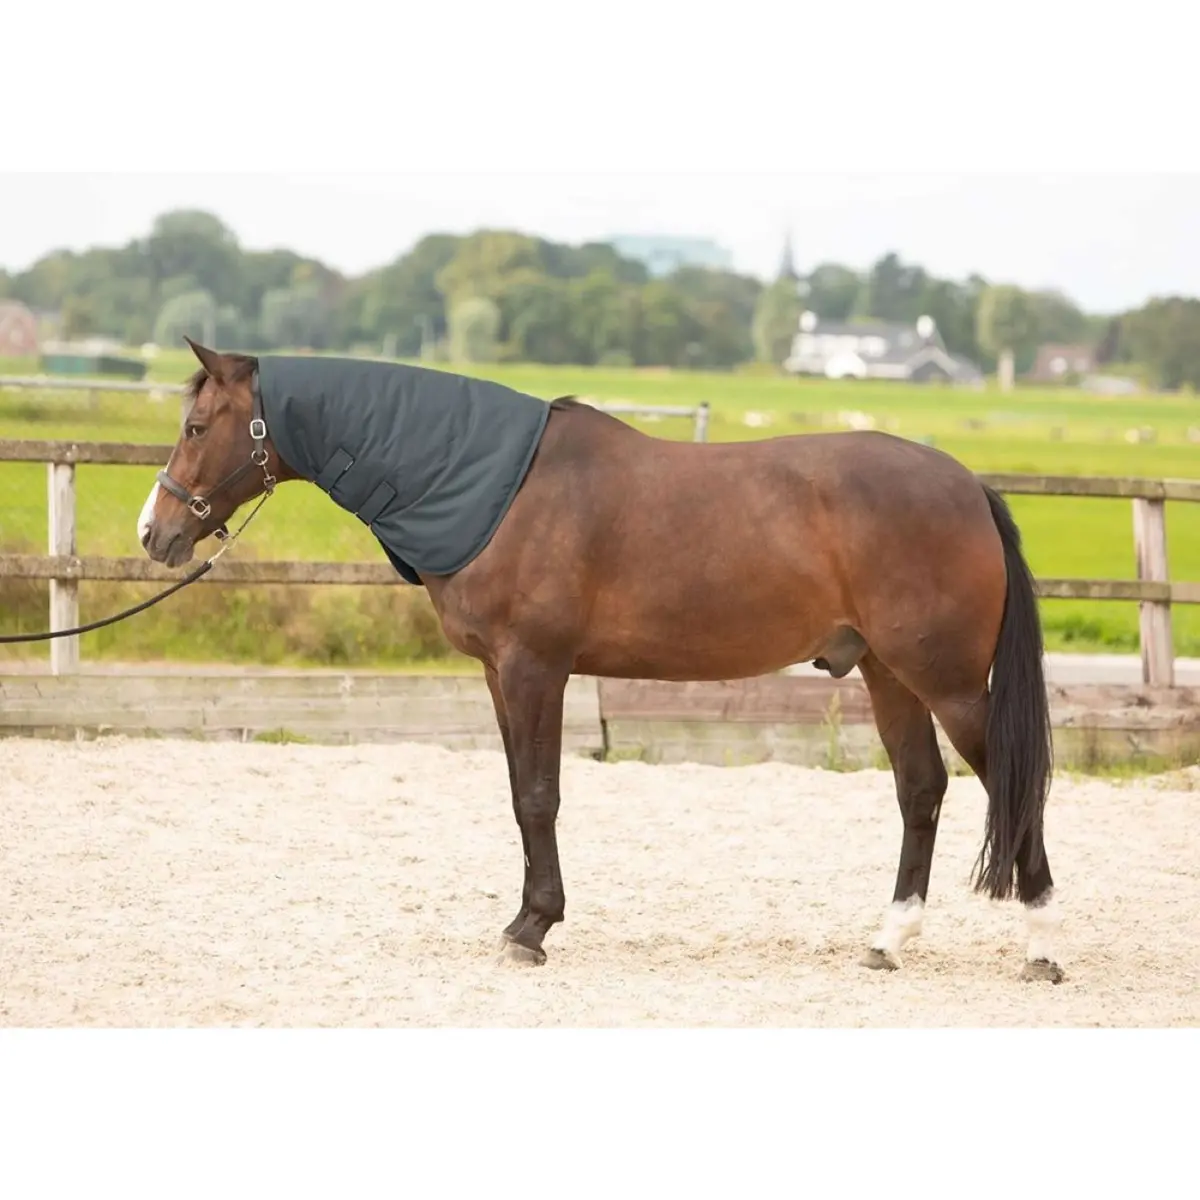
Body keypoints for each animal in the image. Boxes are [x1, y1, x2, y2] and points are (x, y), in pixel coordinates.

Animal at [137, 339, 1063, 984]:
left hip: (948, 683)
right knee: (922, 789)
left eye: (195, 428)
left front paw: (533, 929)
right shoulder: (499, 674)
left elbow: (540, 798)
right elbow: (521, 796)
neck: (494, 489)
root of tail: (968, 487)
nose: (156, 533)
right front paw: (525, 920)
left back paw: (1040, 945)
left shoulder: (535, 668)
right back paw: (888, 940)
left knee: (1013, 786)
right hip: (887, 673)